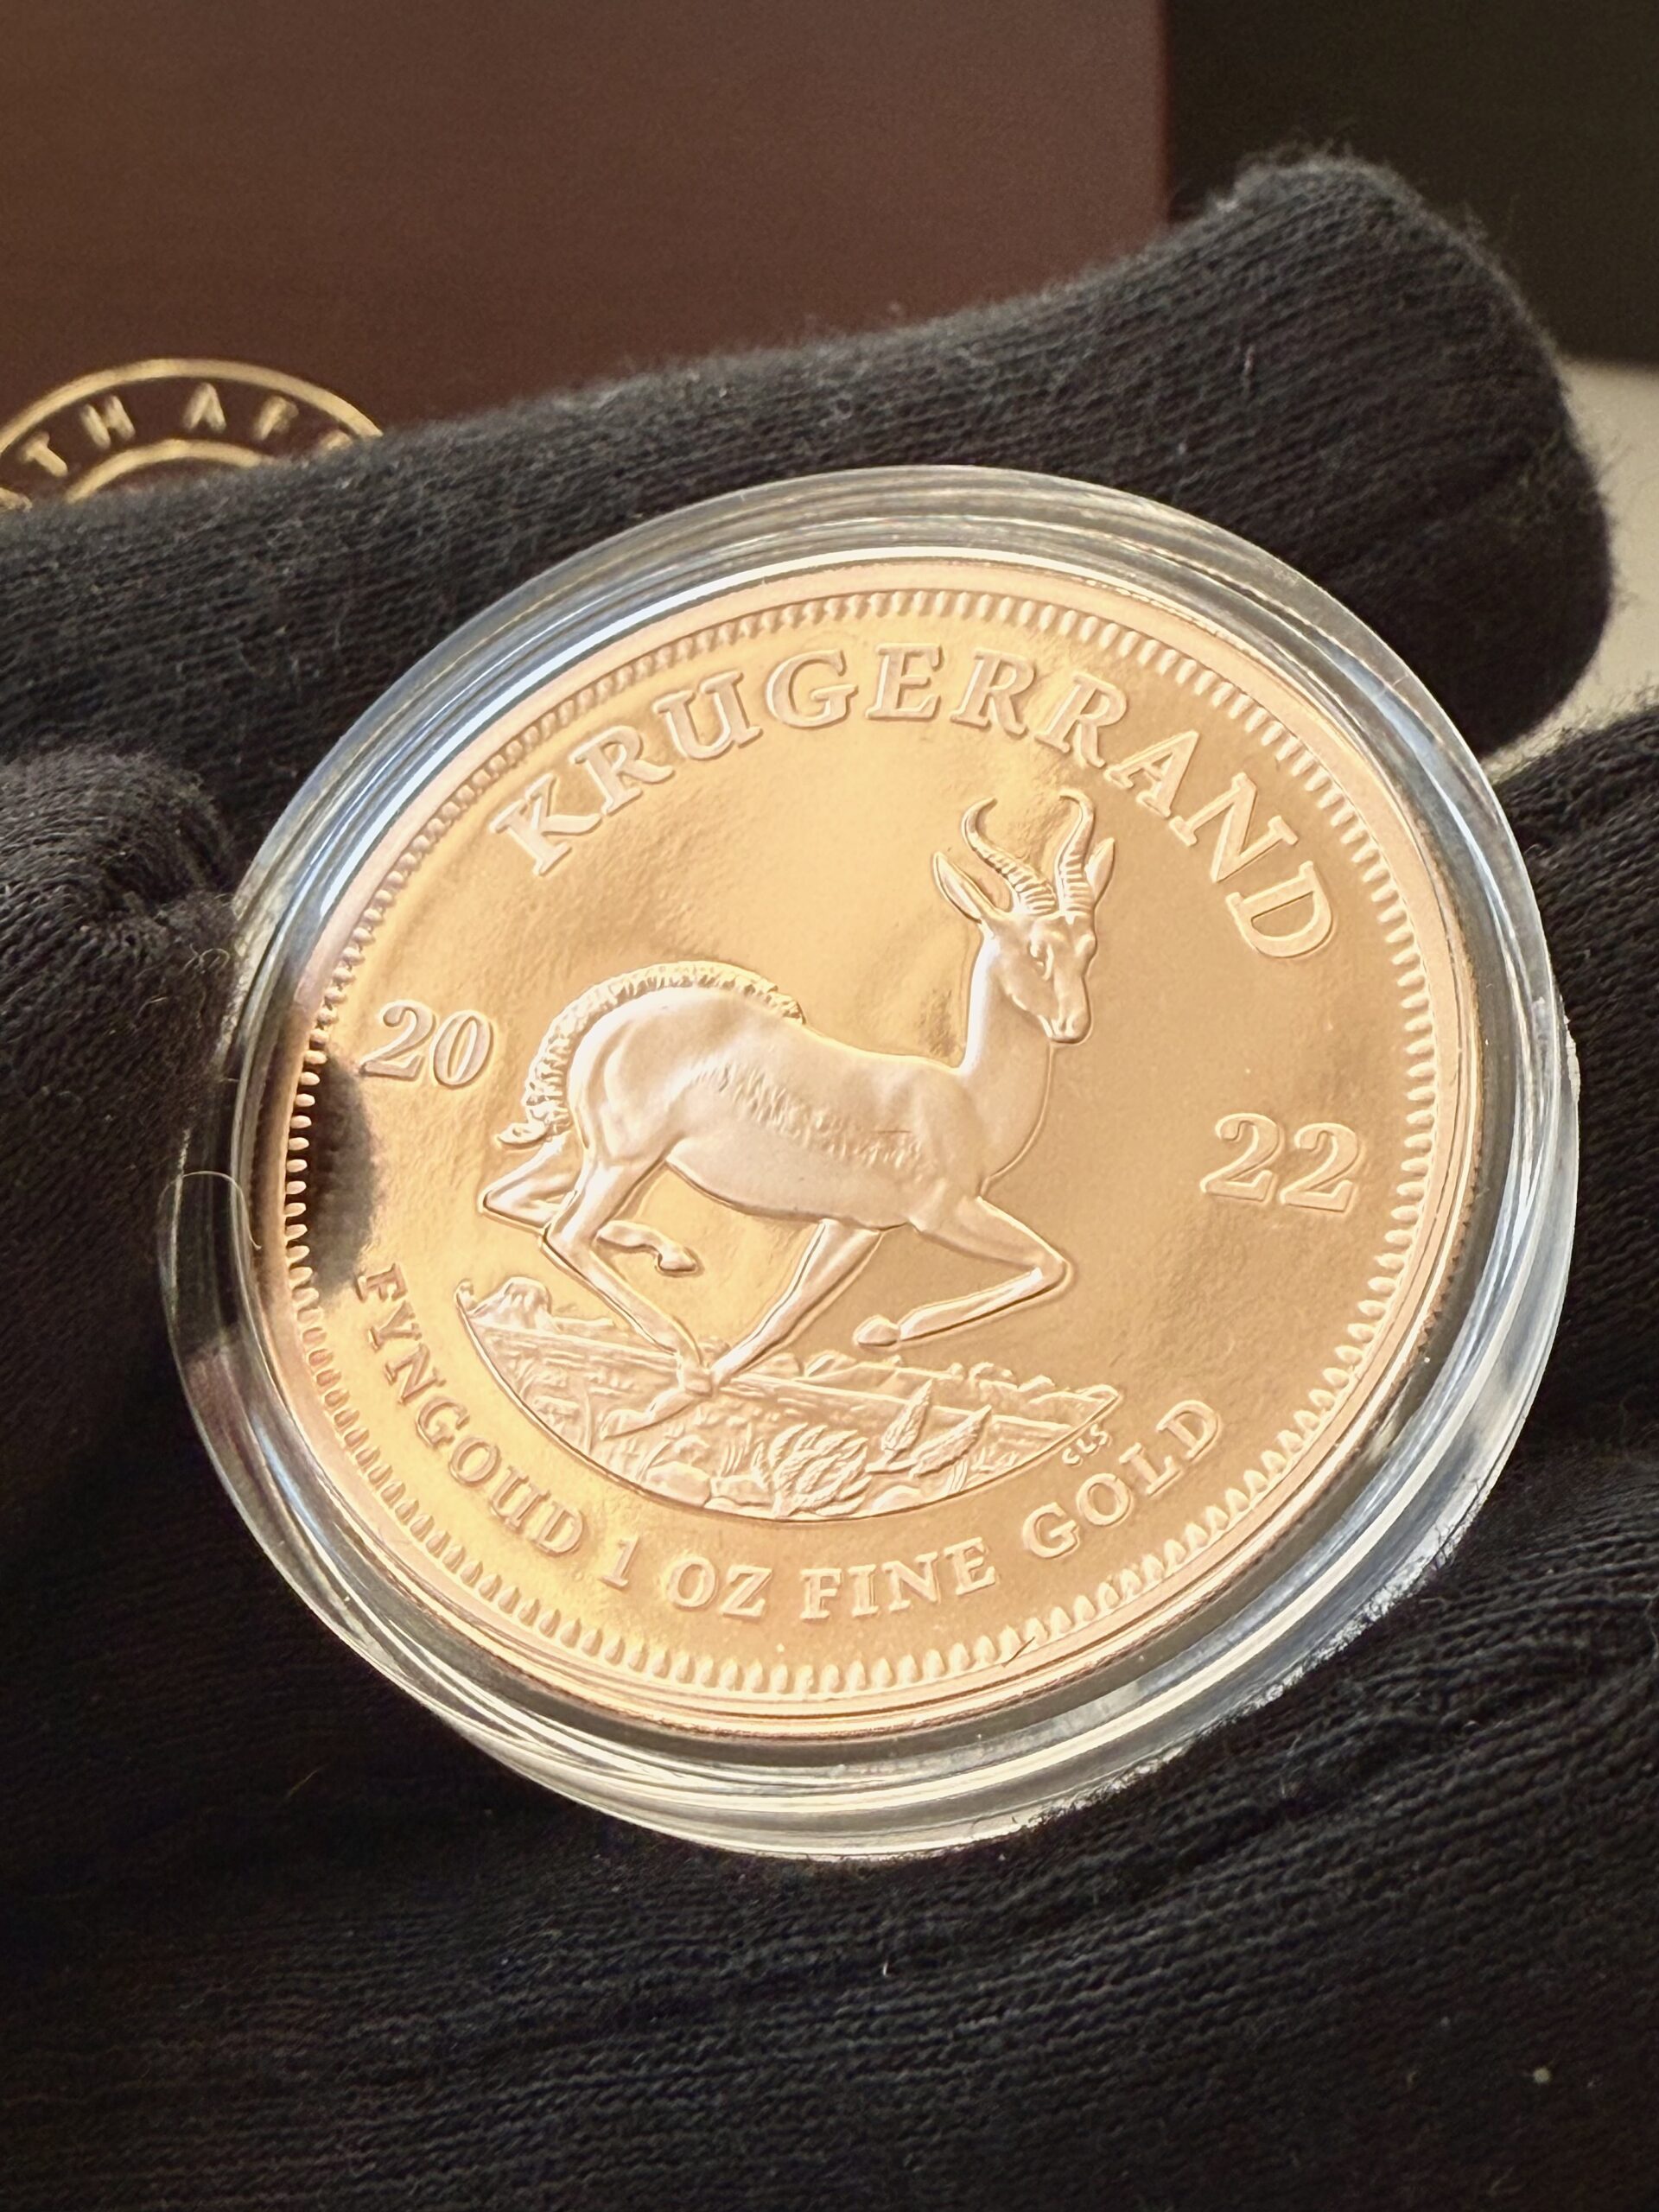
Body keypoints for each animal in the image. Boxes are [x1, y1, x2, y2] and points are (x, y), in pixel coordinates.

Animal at [481, 792, 1115, 1435]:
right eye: (1034, 949)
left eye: (1088, 946)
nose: (1073, 1025)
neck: (968, 1105)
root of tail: (603, 1024)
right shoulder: (942, 1212)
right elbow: (1050, 1263)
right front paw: (887, 1330)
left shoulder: (854, 1227)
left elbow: (787, 1314)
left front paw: (676, 1400)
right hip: (625, 1159)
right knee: (567, 1232)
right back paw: (682, 1350)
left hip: (580, 1152)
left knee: (508, 1196)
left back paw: (670, 1258)